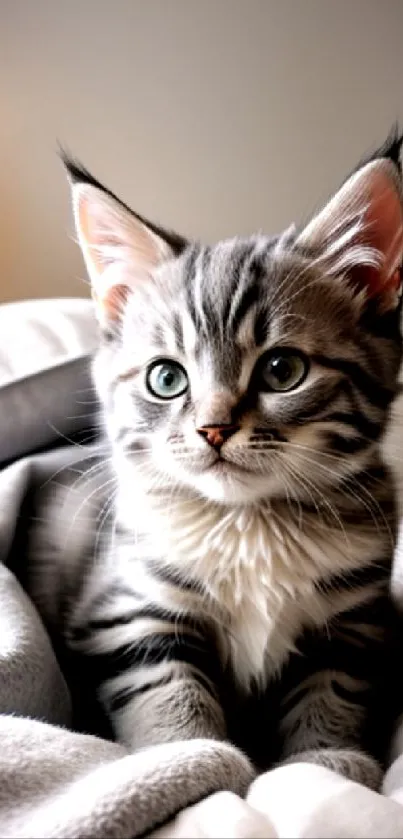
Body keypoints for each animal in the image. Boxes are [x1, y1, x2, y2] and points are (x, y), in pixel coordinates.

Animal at [41, 135, 403, 792]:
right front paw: (193, 759)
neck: (249, 525)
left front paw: (325, 761)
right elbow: (167, 691)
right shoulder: (126, 612)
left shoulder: (355, 622)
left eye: (283, 370)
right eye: (166, 378)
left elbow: (332, 693)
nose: (213, 429)